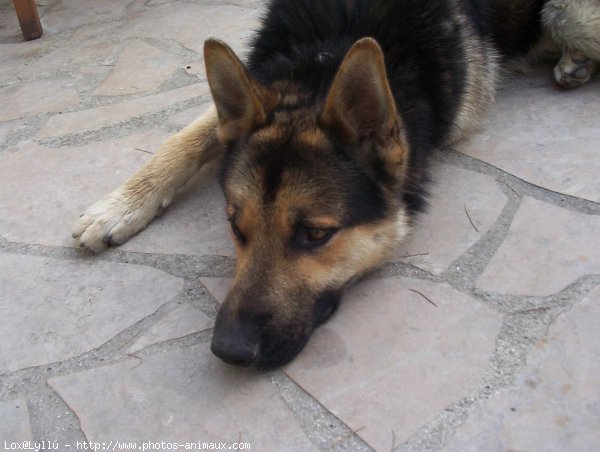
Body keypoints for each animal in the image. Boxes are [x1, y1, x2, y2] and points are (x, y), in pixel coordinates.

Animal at [74, 0, 600, 368]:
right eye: (236, 228)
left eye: (315, 235)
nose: (228, 350)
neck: (330, 48)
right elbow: (184, 137)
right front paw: (118, 207)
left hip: (569, 12)